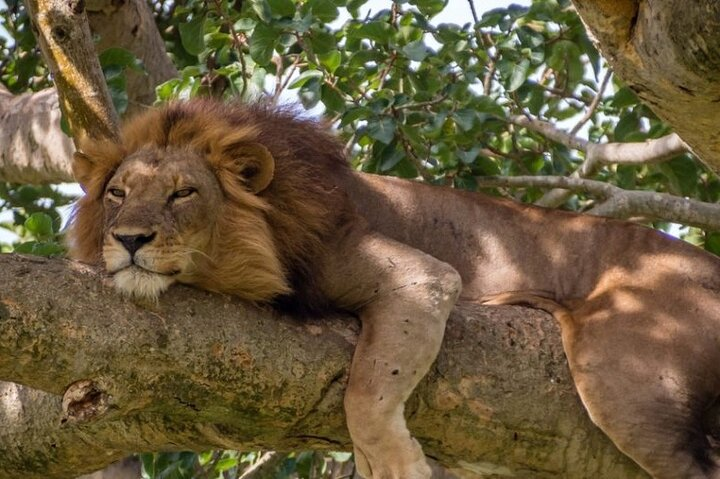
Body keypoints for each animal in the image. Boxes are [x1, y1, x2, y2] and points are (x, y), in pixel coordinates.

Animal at [69, 98, 720, 479]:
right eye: (117, 194)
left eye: (183, 193)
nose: (129, 239)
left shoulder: (422, 276)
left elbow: (368, 391)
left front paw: (392, 462)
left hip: (626, 378)